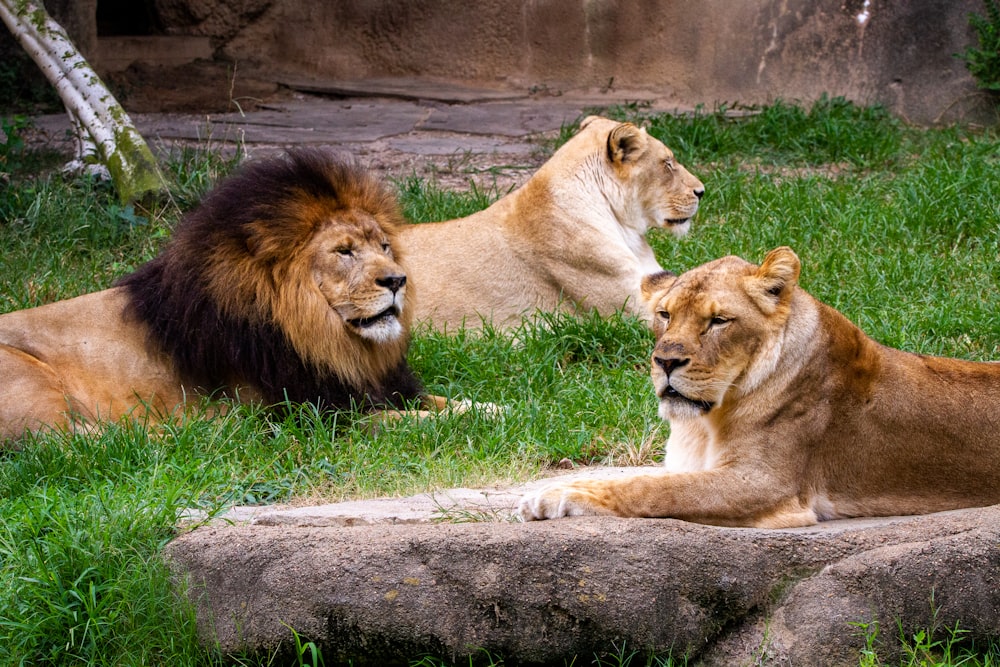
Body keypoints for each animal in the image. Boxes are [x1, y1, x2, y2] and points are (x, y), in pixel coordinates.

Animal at [0, 149, 452, 446]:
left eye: (384, 246)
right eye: (344, 251)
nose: (397, 280)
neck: (326, 339)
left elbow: (448, 401)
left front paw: (470, 405)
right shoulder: (316, 414)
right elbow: (417, 420)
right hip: (28, 378)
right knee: (68, 443)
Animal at [520, 248, 1000, 528]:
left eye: (718, 320)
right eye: (665, 315)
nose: (666, 362)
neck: (705, 421)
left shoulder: (763, 483)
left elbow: (650, 490)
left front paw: (555, 495)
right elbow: (641, 479)